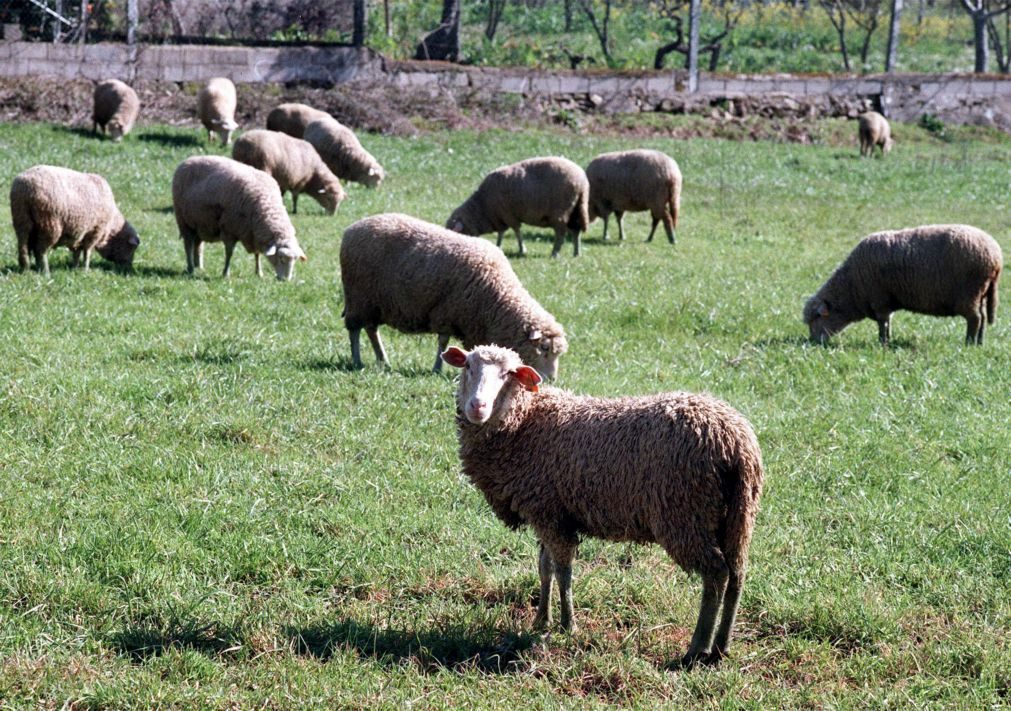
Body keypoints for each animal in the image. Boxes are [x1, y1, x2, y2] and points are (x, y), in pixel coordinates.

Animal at [9, 165, 141, 277]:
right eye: (131, 248)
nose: (128, 268)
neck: (110, 230)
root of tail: (24, 187)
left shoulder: (79, 234)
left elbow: (77, 253)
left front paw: (75, 268)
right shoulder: (94, 232)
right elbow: (87, 253)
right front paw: (85, 270)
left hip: (22, 220)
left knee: (23, 248)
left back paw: (27, 269)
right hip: (48, 225)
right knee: (40, 251)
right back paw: (45, 272)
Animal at [171, 155, 305, 281]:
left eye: (295, 260)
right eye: (281, 258)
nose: (285, 280)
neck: (266, 206)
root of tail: (189, 159)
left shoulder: (253, 234)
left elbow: (257, 254)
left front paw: (259, 273)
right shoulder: (229, 230)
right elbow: (229, 253)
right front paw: (226, 273)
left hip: (200, 224)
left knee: (198, 245)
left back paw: (199, 266)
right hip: (184, 221)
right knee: (188, 245)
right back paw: (190, 268)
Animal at [442, 343, 764, 667]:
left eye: (508, 374)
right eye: (468, 366)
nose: (477, 406)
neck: (525, 423)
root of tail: (735, 442)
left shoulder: (548, 513)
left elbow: (563, 570)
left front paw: (567, 625)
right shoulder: (547, 510)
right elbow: (545, 567)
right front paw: (541, 620)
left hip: (685, 514)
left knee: (716, 574)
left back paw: (697, 648)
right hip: (738, 515)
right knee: (737, 573)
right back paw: (722, 645)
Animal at [804, 222, 1002, 343]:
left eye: (817, 318)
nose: (814, 342)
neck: (851, 287)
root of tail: (995, 257)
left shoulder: (880, 301)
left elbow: (883, 324)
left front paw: (882, 343)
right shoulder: (885, 302)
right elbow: (888, 323)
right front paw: (888, 341)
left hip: (969, 294)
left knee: (975, 318)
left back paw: (969, 343)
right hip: (981, 293)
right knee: (983, 317)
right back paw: (979, 342)